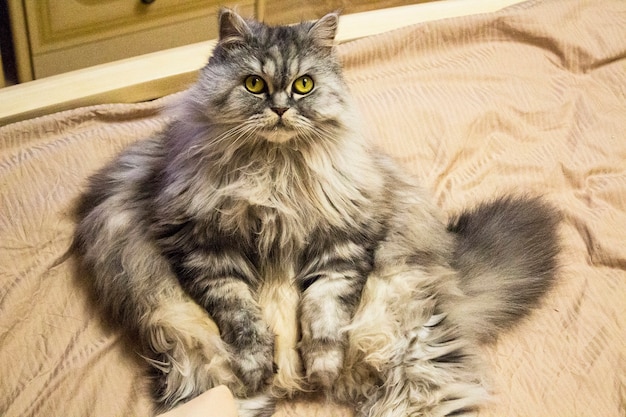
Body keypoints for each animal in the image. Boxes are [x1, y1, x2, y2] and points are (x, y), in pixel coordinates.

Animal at [70, 8, 560, 416]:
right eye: (254, 84)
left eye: (303, 84)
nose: (281, 108)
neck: (275, 175)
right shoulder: (206, 247)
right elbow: (242, 315)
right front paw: (257, 361)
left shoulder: (341, 244)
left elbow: (323, 310)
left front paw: (323, 364)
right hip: (201, 378)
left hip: (414, 357)